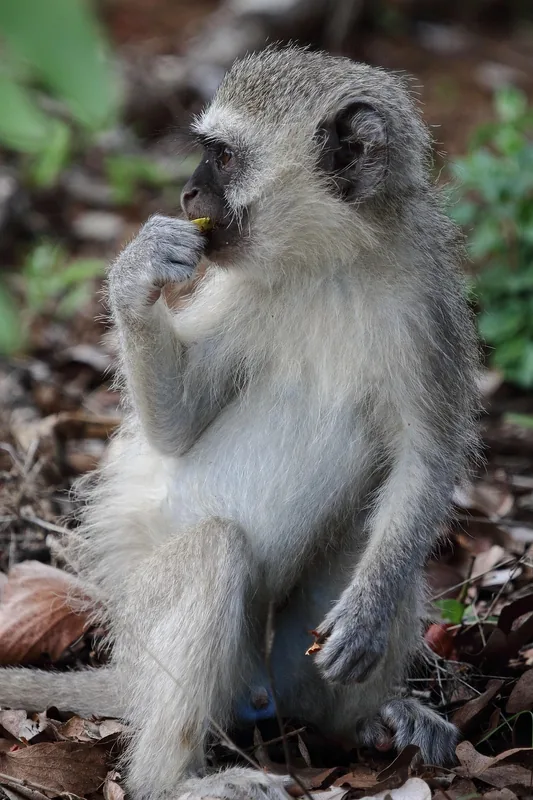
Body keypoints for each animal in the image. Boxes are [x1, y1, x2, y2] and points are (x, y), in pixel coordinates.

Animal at [0, 45, 479, 800]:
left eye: (221, 159)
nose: (188, 197)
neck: (330, 262)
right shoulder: (232, 288)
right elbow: (177, 429)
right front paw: (137, 275)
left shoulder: (425, 307)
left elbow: (424, 461)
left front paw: (368, 613)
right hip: (146, 620)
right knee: (213, 550)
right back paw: (175, 781)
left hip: (287, 663)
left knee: (370, 552)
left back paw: (366, 721)